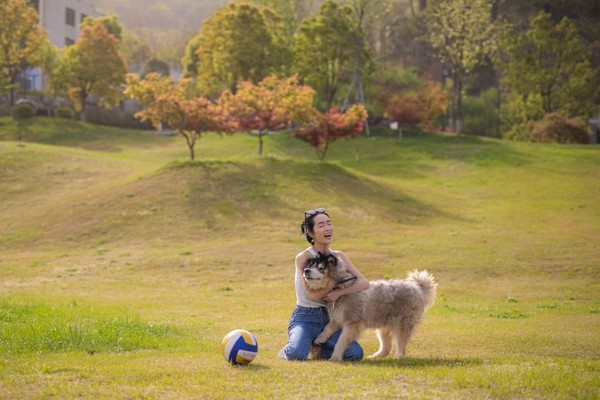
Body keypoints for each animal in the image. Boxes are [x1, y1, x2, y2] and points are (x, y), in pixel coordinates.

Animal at [304, 253, 436, 362]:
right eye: (311, 266)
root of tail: (418, 287)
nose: (305, 270)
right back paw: (375, 356)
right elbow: (327, 328)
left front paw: (335, 357)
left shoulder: (352, 323)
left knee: (401, 342)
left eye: (320, 268)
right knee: (386, 347)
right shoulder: (337, 318)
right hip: (384, 325)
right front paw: (320, 339)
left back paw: (399, 356)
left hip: (403, 323)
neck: (341, 288)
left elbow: (340, 341)